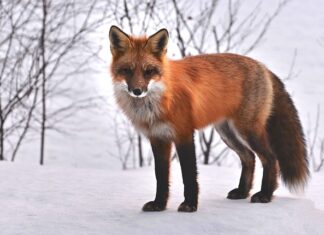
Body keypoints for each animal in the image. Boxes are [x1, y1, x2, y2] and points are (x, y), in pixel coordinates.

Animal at [108, 25, 308, 213]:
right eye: (127, 70)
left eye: (149, 71)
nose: (137, 91)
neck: (157, 102)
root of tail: (263, 66)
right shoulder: (158, 138)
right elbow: (161, 177)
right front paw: (159, 205)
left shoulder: (184, 134)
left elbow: (189, 175)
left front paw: (190, 205)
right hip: (227, 133)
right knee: (249, 157)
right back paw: (242, 192)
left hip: (247, 130)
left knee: (270, 158)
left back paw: (265, 194)